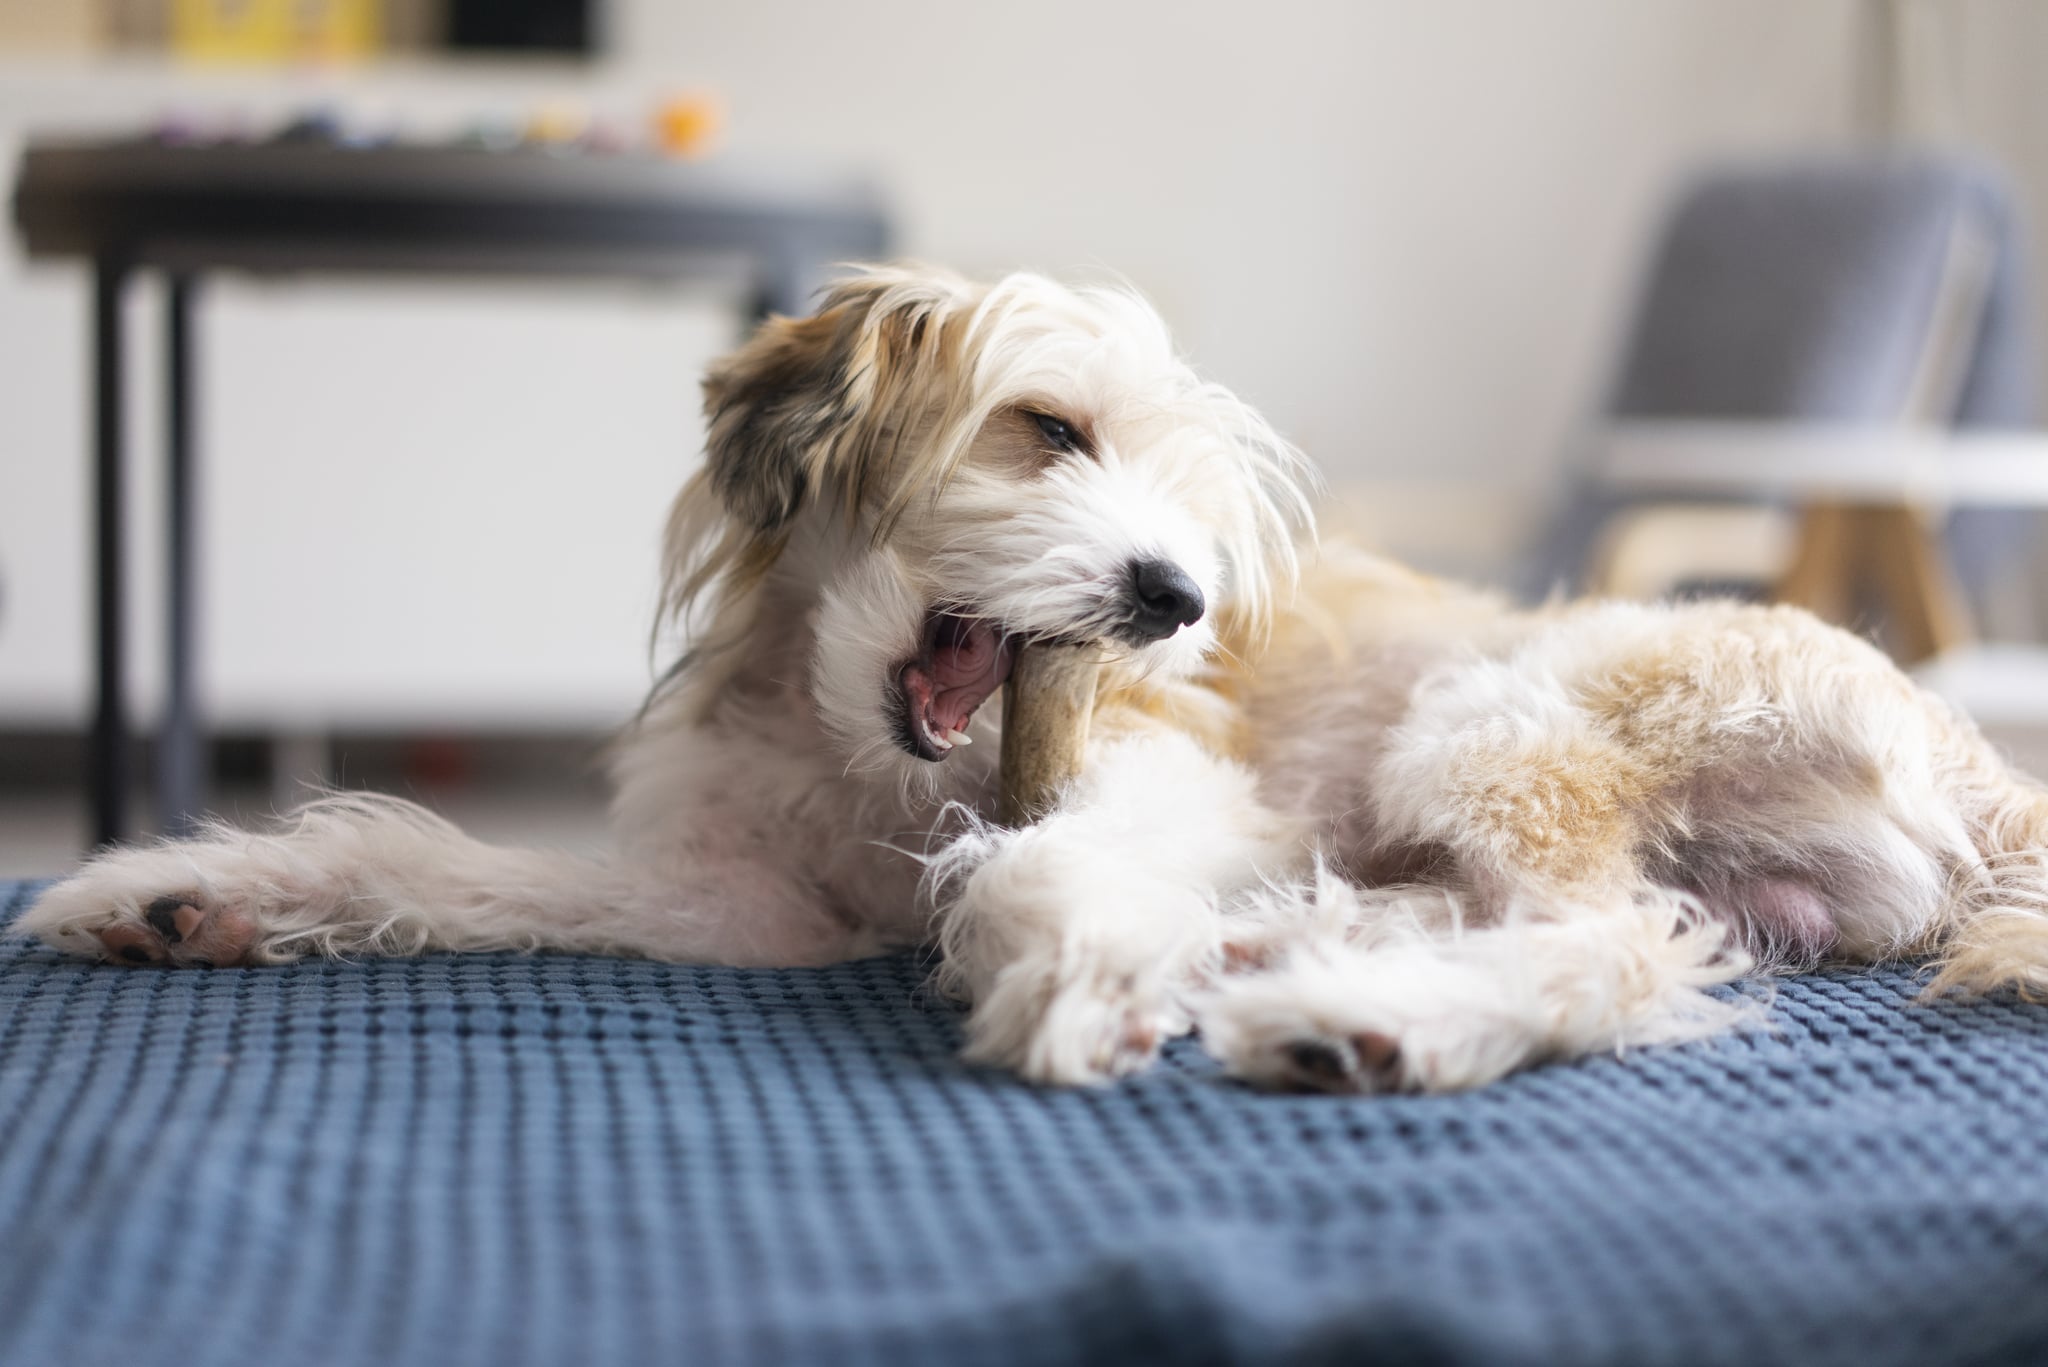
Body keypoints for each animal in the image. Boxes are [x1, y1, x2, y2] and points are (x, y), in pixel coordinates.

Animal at [24, 264, 2048, 1090]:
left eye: (1193, 524)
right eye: (1045, 429)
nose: (1165, 596)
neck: (859, 750)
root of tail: (1978, 762)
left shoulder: (1157, 776)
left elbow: (1029, 861)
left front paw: (1074, 969)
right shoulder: (740, 902)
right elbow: (440, 859)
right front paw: (188, 891)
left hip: (1494, 724)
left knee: (1620, 941)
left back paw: (1367, 1019)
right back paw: (1292, 955)